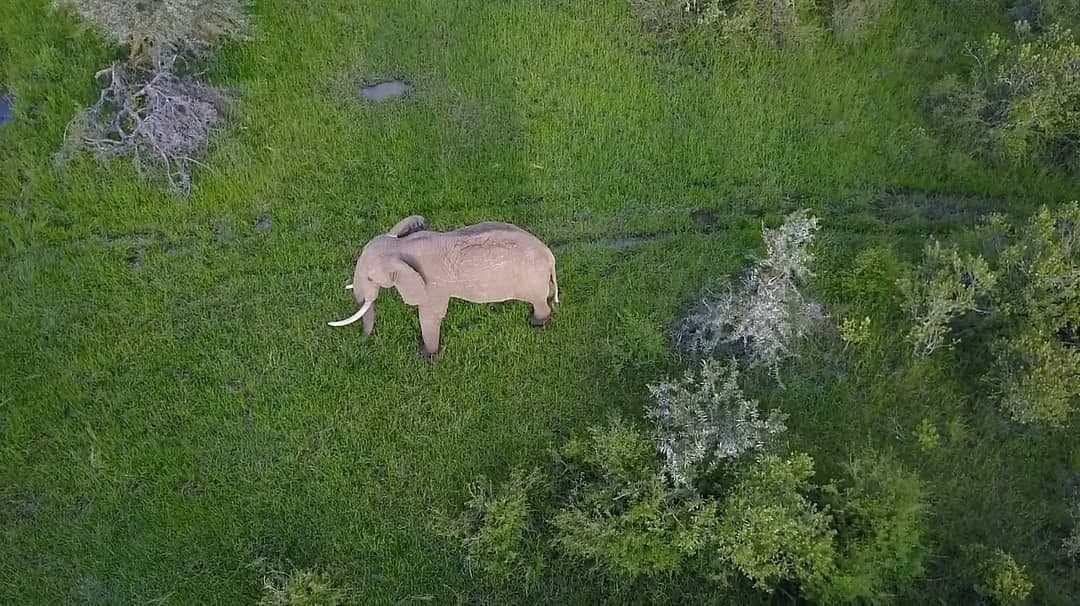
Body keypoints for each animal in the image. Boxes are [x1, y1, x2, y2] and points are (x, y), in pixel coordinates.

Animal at [328, 215, 559, 355]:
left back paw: (536, 322)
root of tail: (550, 255)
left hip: (530, 280)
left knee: (538, 302)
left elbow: (429, 314)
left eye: (370, 278)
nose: (362, 341)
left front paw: (426, 356)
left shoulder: (434, 284)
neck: (400, 245)